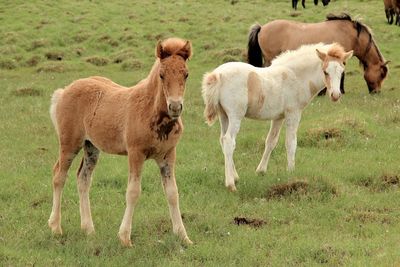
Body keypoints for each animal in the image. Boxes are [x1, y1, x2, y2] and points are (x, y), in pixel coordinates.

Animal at [47, 37, 195, 247]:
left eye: (186, 74)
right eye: (161, 75)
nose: (175, 106)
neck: (151, 112)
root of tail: (64, 91)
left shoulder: (168, 155)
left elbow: (172, 193)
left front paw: (183, 237)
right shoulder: (135, 153)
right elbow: (133, 192)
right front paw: (125, 238)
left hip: (91, 147)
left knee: (83, 178)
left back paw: (88, 229)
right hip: (69, 143)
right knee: (59, 176)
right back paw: (56, 227)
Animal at [203, 43, 354, 192]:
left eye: (342, 71)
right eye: (325, 71)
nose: (335, 95)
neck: (296, 77)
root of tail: (218, 74)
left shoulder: (278, 117)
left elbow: (271, 141)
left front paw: (261, 171)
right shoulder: (293, 114)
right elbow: (291, 143)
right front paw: (291, 172)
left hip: (224, 116)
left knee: (223, 140)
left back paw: (235, 177)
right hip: (235, 115)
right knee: (229, 141)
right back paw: (230, 184)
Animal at [248, 13, 390, 93]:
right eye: (382, 74)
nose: (377, 92)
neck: (352, 35)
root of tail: (261, 28)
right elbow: (342, 74)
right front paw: (341, 90)